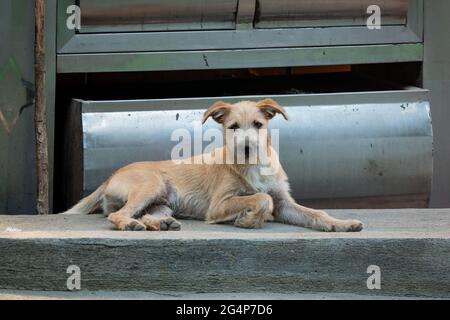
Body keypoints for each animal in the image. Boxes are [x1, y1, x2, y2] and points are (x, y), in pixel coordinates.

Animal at [63, 97, 364, 232]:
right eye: (233, 127)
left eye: (258, 125)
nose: (246, 147)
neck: (252, 167)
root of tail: (111, 175)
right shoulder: (219, 205)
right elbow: (261, 198)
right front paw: (248, 219)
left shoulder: (285, 203)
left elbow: (314, 213)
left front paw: (342, 223)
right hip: (151, 185)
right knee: (118, 214)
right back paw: (129, 224)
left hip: (162, 202)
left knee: (146, 214)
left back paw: (161, 224)